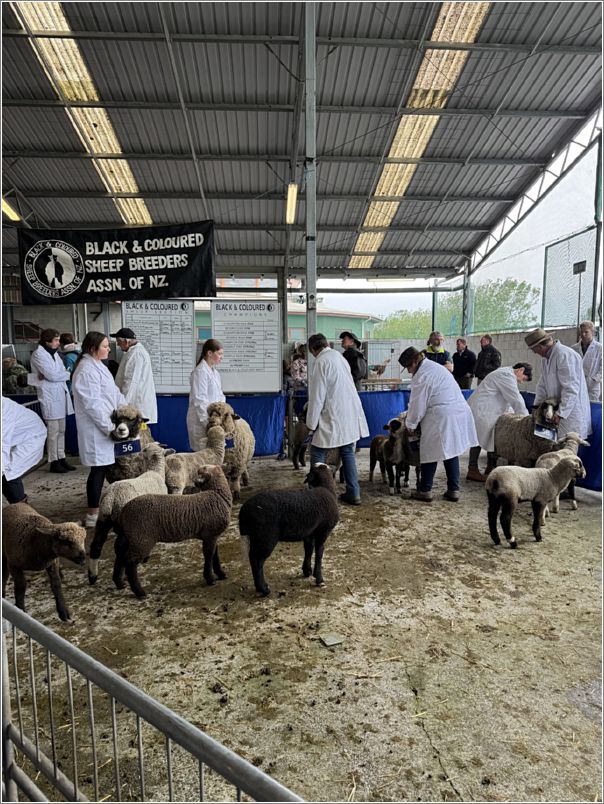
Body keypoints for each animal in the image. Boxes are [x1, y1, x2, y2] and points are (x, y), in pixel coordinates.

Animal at [87, 442, 169, 588]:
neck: (155, 472)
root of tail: (111, 498)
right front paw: (146, 557)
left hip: (103, 518)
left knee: (96, 545)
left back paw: (93, 576)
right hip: (123, 521)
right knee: (119, 548)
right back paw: (119, 580)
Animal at [112, 462, 232, 600]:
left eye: (205, 468)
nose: (197, 472)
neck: (218, 495)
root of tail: (123, 511)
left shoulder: (213, 534)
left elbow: (215, 555)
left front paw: (221, 574)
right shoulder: (210, 534)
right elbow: (209, 555)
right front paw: (210, 579)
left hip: (129, 536)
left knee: (120, 553)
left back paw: (119, 582)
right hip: (141, 538)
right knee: (130, 562)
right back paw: (140, 592)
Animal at [237, 458, 340, 596]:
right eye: (328, 468)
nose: (335, 465)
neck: (326, 488)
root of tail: (244, 511)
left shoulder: (309, 532)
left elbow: (308, 549)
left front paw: (307, 571)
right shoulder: (323, 530)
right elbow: (319, 552)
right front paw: (319, 579)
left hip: (256, 537)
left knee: (252, 558)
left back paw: (260, 587)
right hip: (265, 537)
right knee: (257, 561)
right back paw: (264, 589)